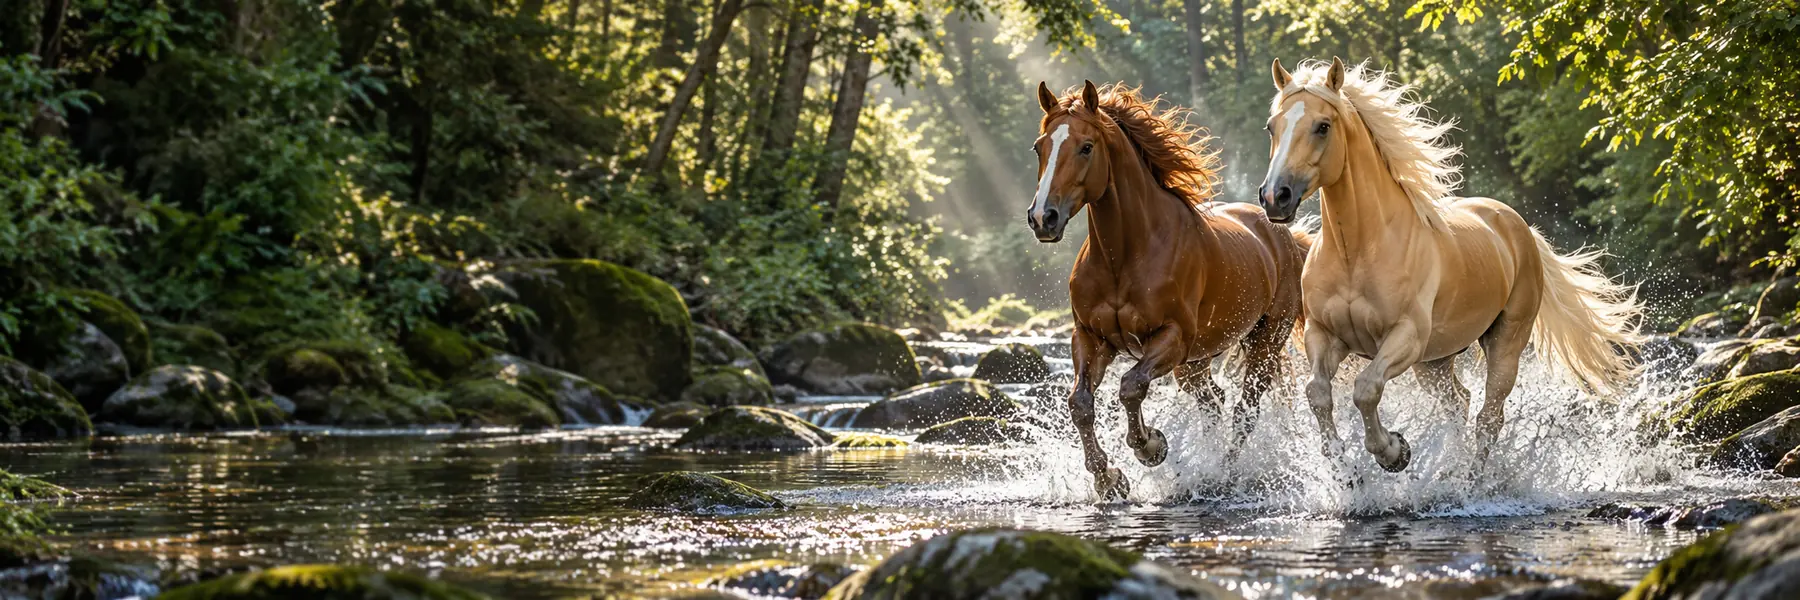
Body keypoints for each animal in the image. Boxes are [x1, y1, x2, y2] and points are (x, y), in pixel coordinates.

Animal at [1028, 81, 1311, 498]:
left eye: (1086, 147)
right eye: (1039, 147)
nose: (1043, 218)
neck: (1125, 255)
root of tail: (1285, 237)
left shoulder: (1170, 338)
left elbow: (1131, 386)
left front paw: (1151, 447)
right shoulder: (1091, 338)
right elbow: (1079, 403)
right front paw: (1109, 480)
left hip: (1264, 343)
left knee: (1245, 411)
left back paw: (1227, 474)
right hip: (1196, 363)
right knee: (1214, 402)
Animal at [1256, 58, 1644, 472]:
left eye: (1322, 126)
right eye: (1272, 126)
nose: (1275, 197)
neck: (1357, 251)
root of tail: (1518, 227)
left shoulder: (1404, 337)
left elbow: (1366, 389)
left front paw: (1394, 451)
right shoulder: (1324, 334)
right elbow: (1318, 393)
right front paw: (1344, 468)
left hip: (1504, 343)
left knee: (1489, 416)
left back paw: (1472, 479)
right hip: (1435, 361)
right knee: (1459, 402)